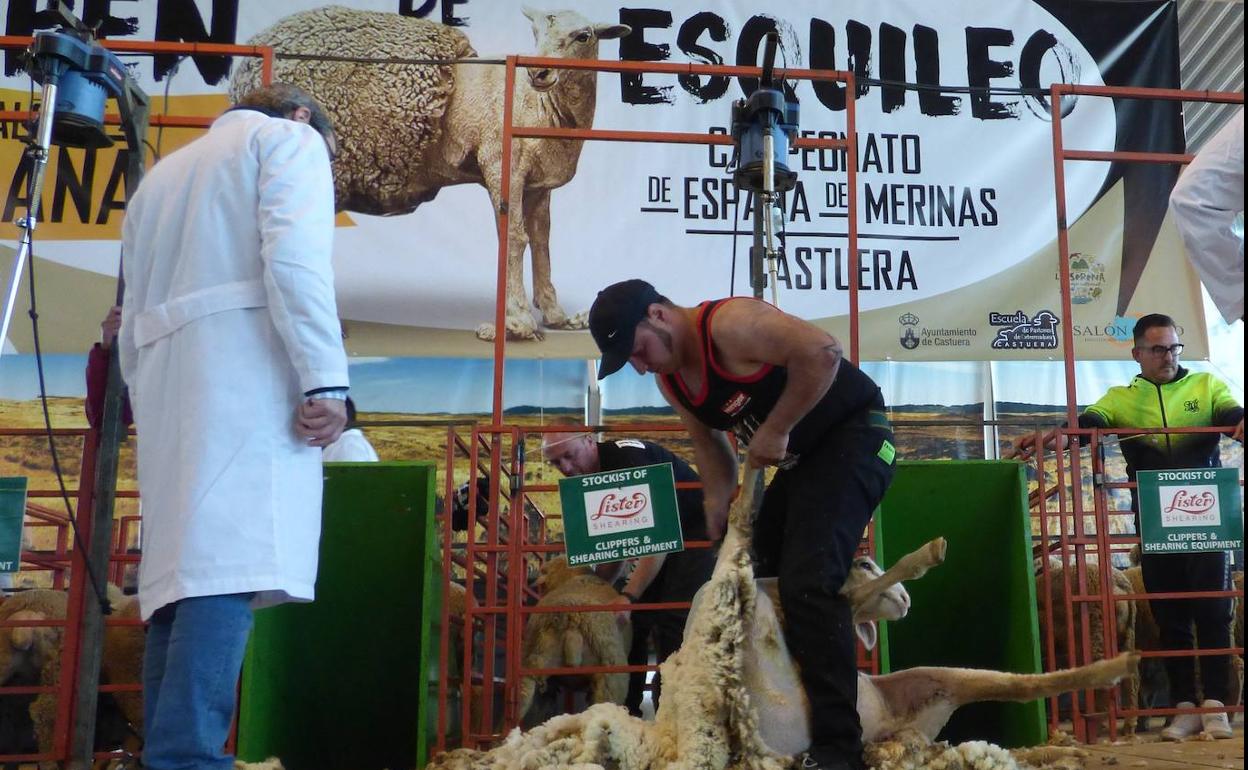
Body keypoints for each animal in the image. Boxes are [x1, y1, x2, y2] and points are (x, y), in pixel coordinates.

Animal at [229, 3, 628, 339]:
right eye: (536, 33)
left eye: (583, 35)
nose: (538, 72)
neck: (539, 107)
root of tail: (244, 71)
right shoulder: (502, 165)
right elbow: (514, 237)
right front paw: (517, 322)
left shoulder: (538, 185)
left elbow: (542, 240)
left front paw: (556, 315)